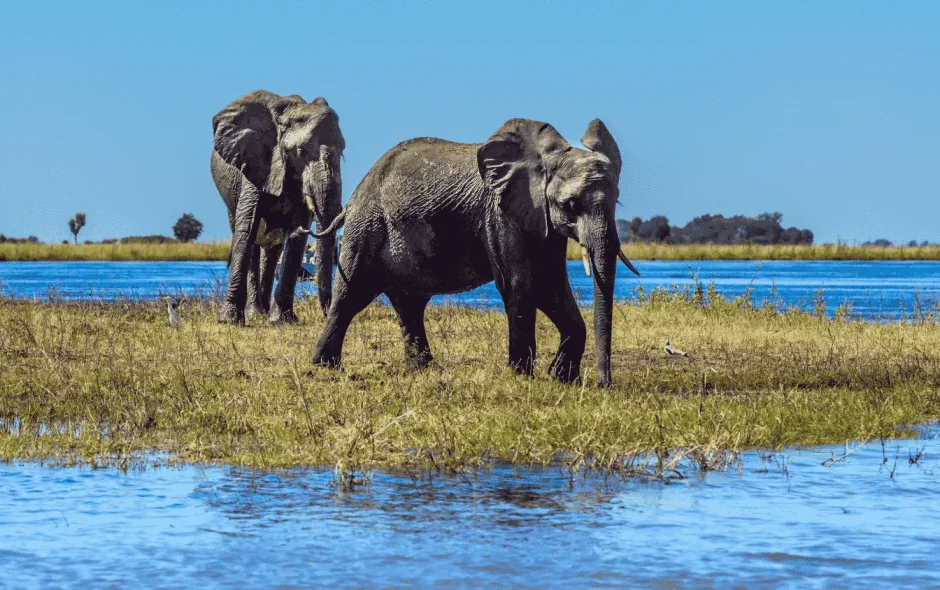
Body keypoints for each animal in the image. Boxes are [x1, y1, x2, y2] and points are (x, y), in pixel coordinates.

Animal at [210, 89, 344, 324]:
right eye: (301, 151)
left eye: (343, 152)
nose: (328, 314)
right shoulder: (256, 164)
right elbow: (247, 229)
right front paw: (229, 320)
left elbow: (296, 239)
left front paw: (283, 320)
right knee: (250, 240)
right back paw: (255, 314)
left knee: (273, 250)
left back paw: (263, 313)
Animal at [311, 118, 639, 387]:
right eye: (571, 204)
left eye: (617, 201)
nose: (603, 384)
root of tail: (355, 196)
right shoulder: (500, 213)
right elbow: (522, 284)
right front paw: (522, 377)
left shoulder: (541, 220)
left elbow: (552, 286)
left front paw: (561, 377)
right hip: (366, 228)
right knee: (349, 297)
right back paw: (325, 368)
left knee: (409, 305)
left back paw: (424, 370)